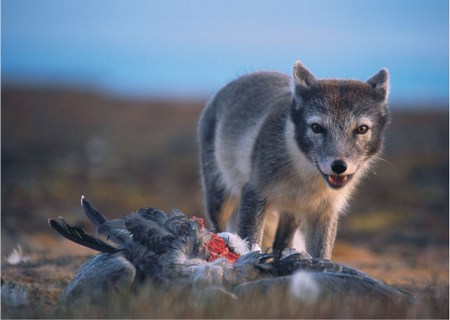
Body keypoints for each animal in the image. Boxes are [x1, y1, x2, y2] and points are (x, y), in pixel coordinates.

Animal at [199, 61, 388, 258]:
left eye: (362, 129)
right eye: (316, 127)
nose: (338, 166)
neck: (304, 175)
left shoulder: (325, 211)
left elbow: (322, 253)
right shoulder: (254, 193)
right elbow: (251, 240)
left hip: (291, 214)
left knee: (282, 242)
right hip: (219, 198)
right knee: (217, 227)